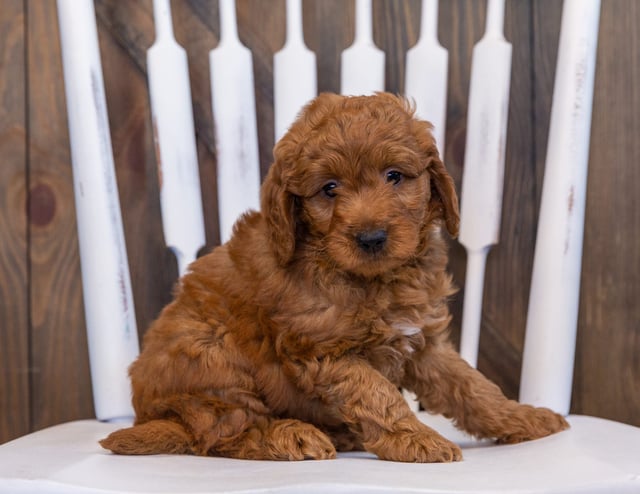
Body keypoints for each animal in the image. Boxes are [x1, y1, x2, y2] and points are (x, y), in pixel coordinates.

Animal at [101, 92, 568, 464]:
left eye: (394, 176)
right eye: (329, 188)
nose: (371, 237)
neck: (372, 279)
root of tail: (154, 416)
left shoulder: (423, 343)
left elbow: (472, 387)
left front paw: (523, 417)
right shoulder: (323, 352)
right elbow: (378, 395)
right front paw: (417, 439)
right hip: (211, 353)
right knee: (224, 431)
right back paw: (293, 436)